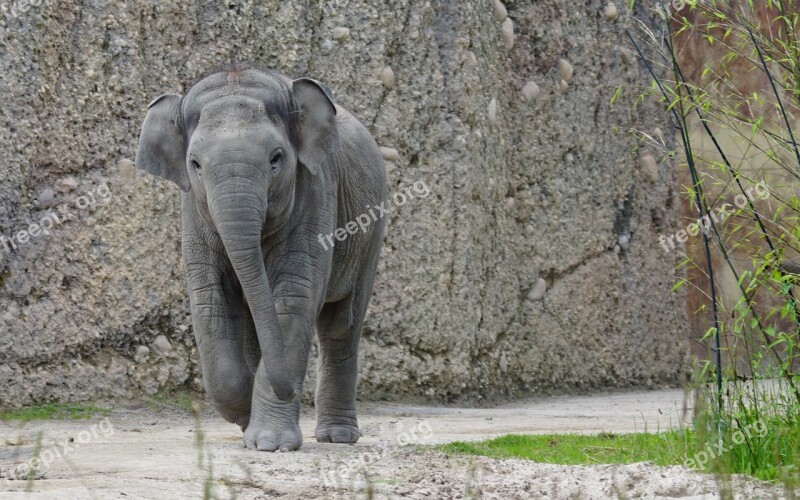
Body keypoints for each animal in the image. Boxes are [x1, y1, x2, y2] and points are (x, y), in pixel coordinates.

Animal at [134, 64, 388, 452]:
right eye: (195, 164)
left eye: (276, 158)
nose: (291, 392)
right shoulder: (192, 210)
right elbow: (209, 298)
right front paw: (244, 418)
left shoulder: (316, 192)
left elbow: (294, 298)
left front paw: (270, 443)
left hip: (372, 227)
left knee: (341, 324)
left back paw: (338, 438)